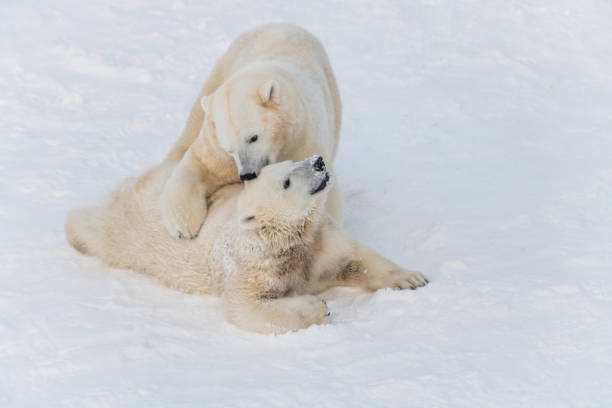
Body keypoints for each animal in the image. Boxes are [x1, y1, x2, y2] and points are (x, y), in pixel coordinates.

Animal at [65, 157, 430, 334]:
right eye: (286, 180)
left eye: (294, 160)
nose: (319, 161)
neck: (291, 241)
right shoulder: (253, 265)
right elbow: (247, 307)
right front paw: (318, 307)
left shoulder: (319, 242)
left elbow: (356, 258)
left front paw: (411, 278)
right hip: (126, 232)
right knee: (93, 228)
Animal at [164, 22, 344, 239]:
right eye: (229, 149)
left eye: (253, 137)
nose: (247, 174)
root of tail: (285, 25)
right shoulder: (218, 145)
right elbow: (201, 164)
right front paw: (182, 226)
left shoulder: (302, 138)